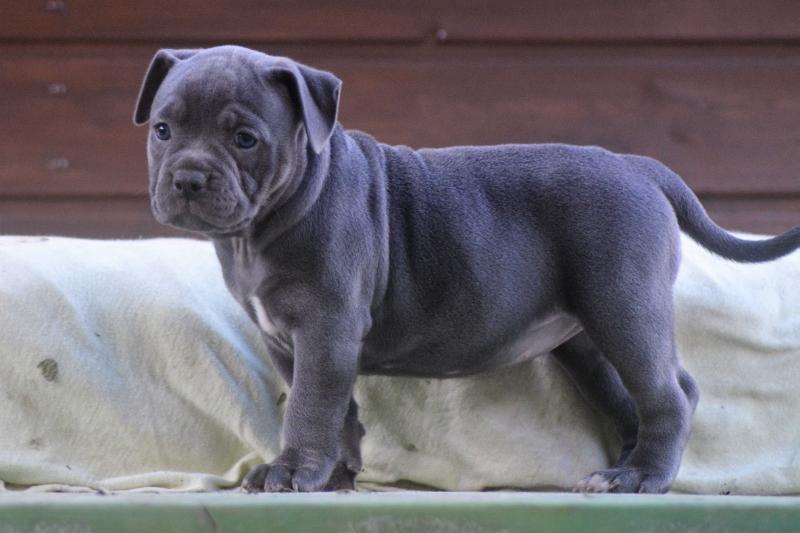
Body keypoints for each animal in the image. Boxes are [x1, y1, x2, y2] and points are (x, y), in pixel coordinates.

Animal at [133, 45, 800, 494]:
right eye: (162, 130)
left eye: (245, 139)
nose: (187, 178)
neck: (262, 227)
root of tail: (640, 167)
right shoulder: (290, 343)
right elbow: (335, 408)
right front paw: (336, 475)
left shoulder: (325, 329)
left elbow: (310, 405)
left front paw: (294, 470)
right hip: (587, 340)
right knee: (629, 396)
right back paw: (622, 467)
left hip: (624, 305)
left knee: (671, 392)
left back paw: (642, 479)